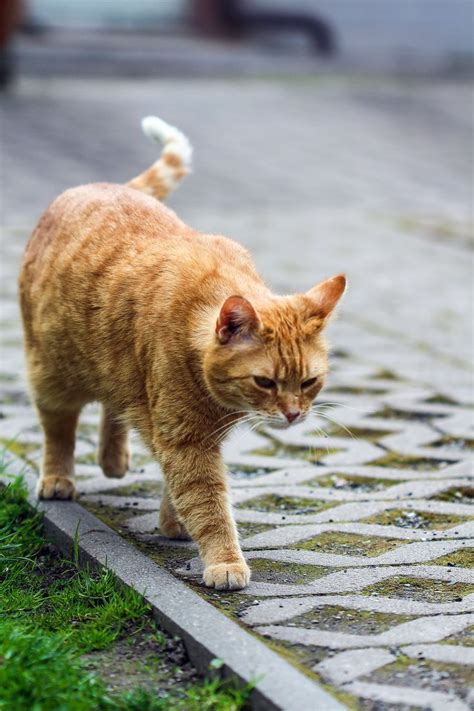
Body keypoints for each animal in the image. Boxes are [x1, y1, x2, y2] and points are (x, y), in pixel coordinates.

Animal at [18, 117, 346, 592]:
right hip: (52, 372)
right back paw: (59, 478)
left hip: (118, 374)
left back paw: (113, 459)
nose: (292, 415)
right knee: (59, 430)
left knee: (116, 407)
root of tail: (105, 185)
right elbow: (207, 503)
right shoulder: (187, 439)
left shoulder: (189, 433)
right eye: (265, 382)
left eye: (308, 382)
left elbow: (181, 489)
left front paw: (173, 523)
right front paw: (224, 561)